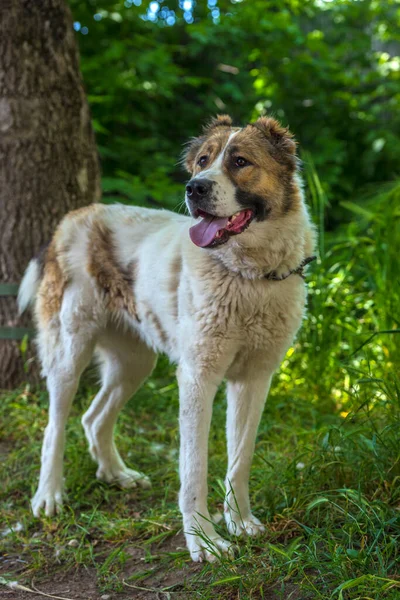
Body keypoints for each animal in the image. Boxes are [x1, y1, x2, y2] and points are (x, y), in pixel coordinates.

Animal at [19, 113, 316, 564]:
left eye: (240, 161)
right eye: (203, 161)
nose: (194, 188)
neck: (247, 277)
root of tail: (76, 215)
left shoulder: (254, 379)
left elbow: (240, 459)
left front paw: (240, 522)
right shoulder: (197, 378)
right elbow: (194, 468)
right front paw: (204, 540)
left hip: (135, 363)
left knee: (94, 417)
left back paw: (116, 474)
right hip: (69, 352)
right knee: (55, 426)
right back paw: (49, 495)